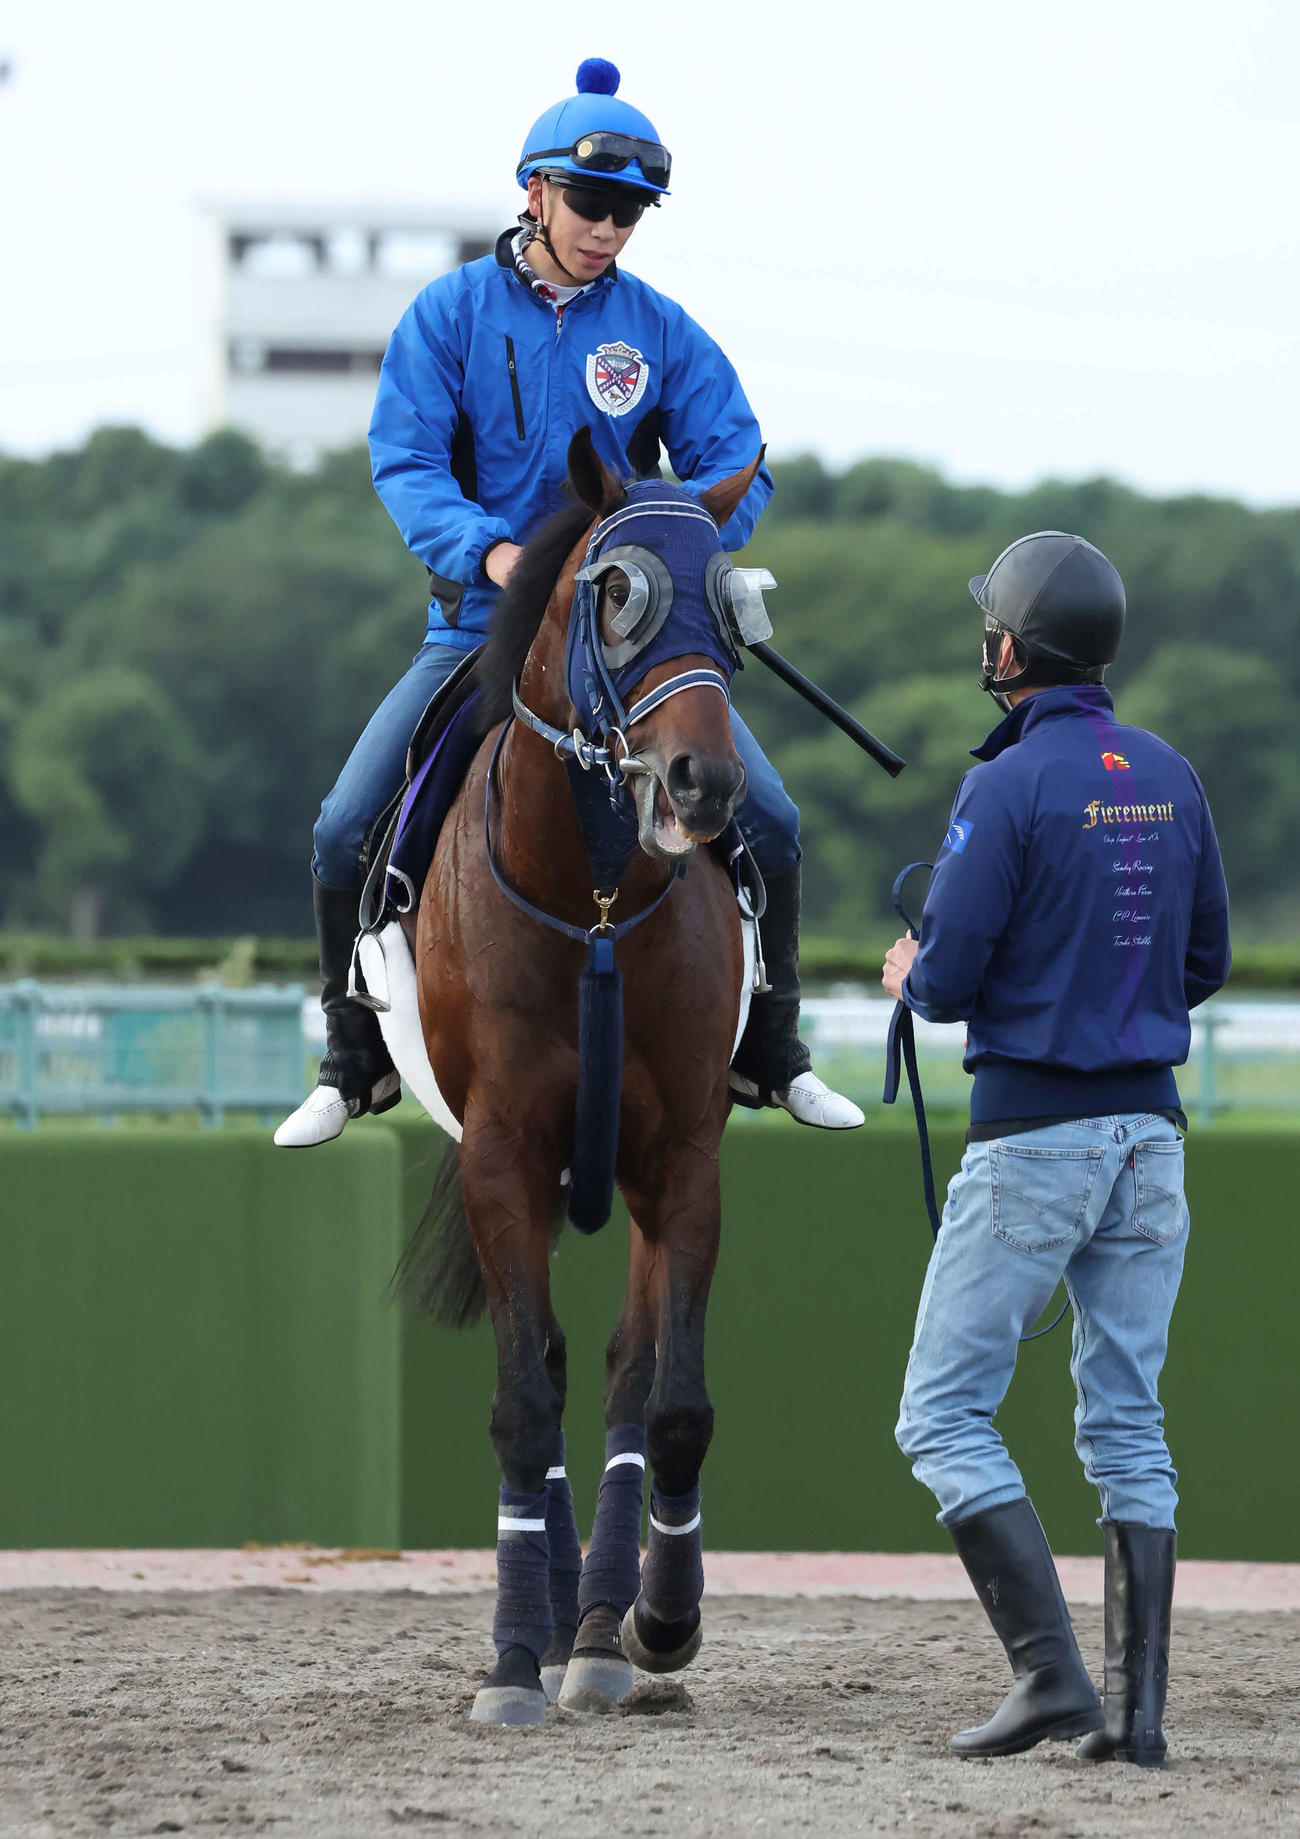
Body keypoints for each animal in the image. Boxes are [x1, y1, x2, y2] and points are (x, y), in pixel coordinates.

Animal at [392, 427, 764, 1724]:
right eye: (618, 595)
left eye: (729, 598)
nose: (704, 781)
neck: (594, 899)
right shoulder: (503, 1151)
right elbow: (521, 1401)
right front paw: (513, 1657)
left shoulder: (683, 1157)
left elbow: (670, 1400)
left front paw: (655, 1622)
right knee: (545, 1370)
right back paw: (554, 1626)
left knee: (609, 1372)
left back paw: (597, 1629)